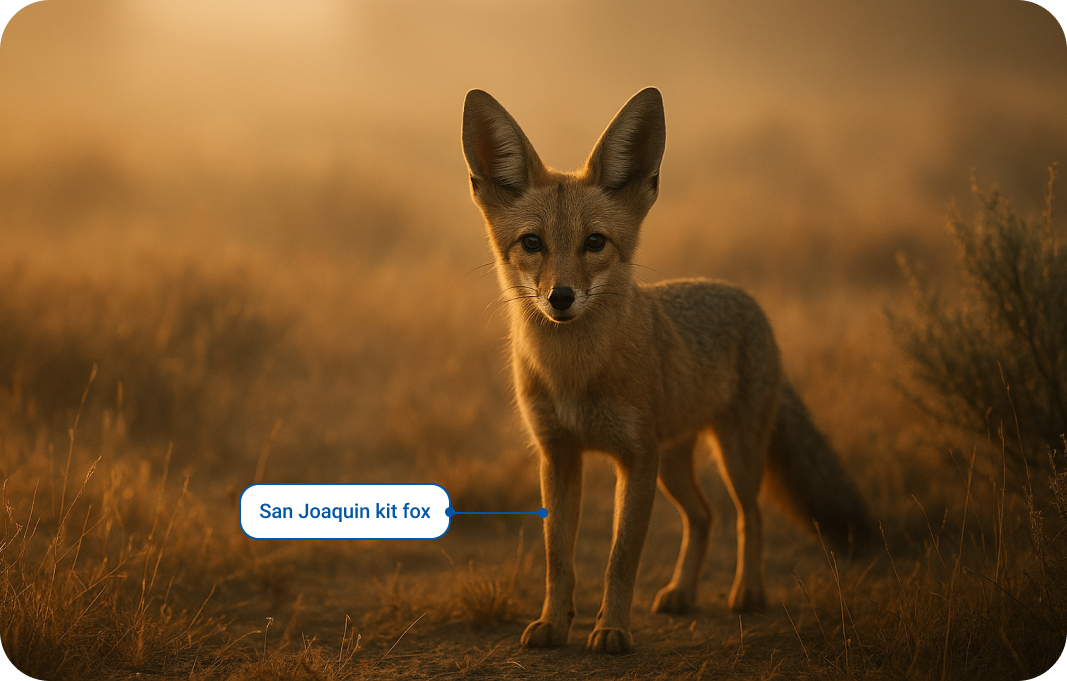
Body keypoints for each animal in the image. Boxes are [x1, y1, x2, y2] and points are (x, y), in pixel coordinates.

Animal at [461, 87, 875, 654]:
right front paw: (553, 623)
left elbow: (621, 557)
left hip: (732, 456)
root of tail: (743, 297)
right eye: (532, 243)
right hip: (674, 463)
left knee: (748, 516)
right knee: (704, 516)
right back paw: (682, 592)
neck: (575, 375)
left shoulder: (636, 458)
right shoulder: (559, 456)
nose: (560, 298)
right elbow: (558, 558)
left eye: (595, 242)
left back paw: (746, 592)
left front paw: (612, 629)